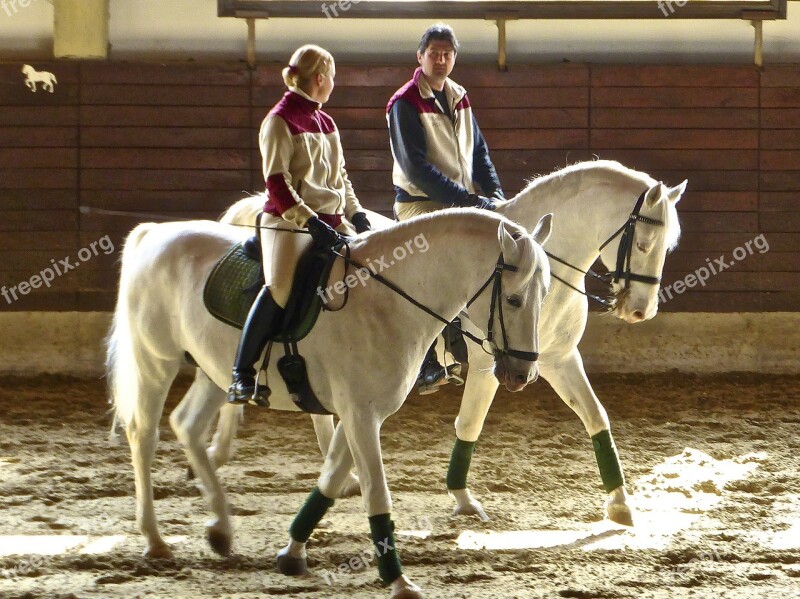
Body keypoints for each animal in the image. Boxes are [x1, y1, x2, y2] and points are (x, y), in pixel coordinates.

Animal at [109, 209, 552, 596]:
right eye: (514, 300)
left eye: (545, 294)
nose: (522, 375)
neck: (387, 297)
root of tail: (154, 232)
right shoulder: (360, 415)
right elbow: (376, 492)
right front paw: (398, 582)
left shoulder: (360, 413)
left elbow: (331, 478)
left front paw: (292, 553)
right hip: (156, 360)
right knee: (144, 435)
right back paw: (154, 539)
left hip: (213, 371)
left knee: (187, 424)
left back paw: (220, 529)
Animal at [203, 158, 684, 524]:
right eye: (643, 242)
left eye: (667, 246)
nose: (640, 310)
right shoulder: (492, 365)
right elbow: (469, 423)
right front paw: (462, 497)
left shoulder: (558, 359)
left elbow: (596, 417)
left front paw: (619, 504)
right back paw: (223, 443)